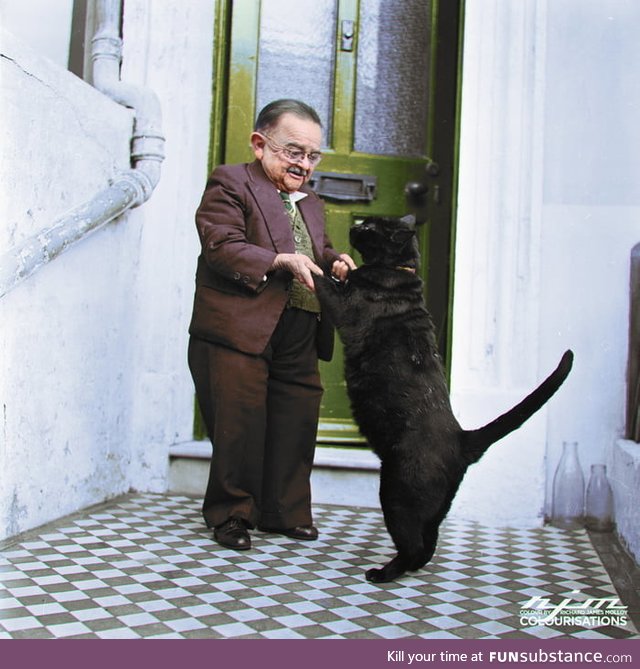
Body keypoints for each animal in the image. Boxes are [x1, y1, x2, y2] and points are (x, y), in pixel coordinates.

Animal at [312, 217, 572, 580]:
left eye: (371, 228)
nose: (356, 225)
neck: (398, 270)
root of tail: (462, 438)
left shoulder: (344, 305)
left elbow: (319, 277)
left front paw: (301, 259)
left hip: (395, 493)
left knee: (413, 545)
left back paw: (382, 573)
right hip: (431, 507)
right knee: (428, 544)